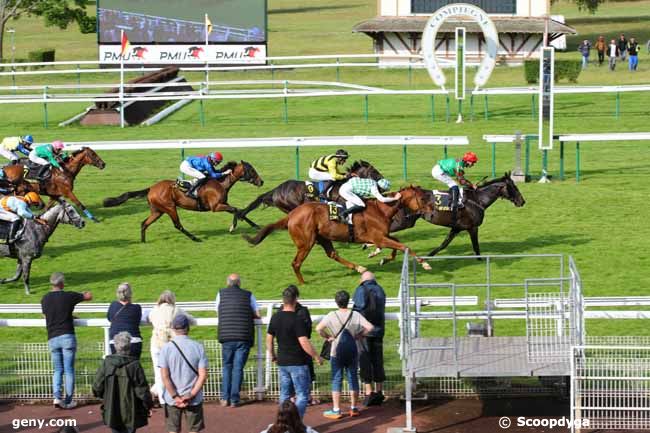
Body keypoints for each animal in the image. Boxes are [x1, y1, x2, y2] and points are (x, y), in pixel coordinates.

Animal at [102, 161, 264, 243]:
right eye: (251, 170)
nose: (261, 181)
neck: (220, 183)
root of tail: (151, 188)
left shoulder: (222, 205)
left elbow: (241, 211)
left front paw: (255, 225)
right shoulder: (216, 206)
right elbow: (236, 210)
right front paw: (232, 227)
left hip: (158, 211)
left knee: (144, 223)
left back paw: (143, 241)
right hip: (170, 208)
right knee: (177, 225)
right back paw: (195, 238)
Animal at [246, 185, 432, 284]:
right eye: (423, 199)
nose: (430, 212)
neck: (381, 210)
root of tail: (291, 215)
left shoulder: (382, 236)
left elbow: (398, 244)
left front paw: (382, 258)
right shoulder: (378, 237)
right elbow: (404, 246)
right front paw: (424, 264)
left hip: (323, 237)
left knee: (332, 254)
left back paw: (359, 267)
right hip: (306, 242)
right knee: (296, 263)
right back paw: (303, 283)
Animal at [368, 173, 524, 264]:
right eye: (514, 187)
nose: (522, 201)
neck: (478, 200)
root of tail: (398, 194)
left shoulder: (456, 228)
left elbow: (443, 244)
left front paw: (429, 256)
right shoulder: (472, 227)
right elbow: (476, 246)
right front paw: (480, 260)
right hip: (403, 221)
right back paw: (374, 248)